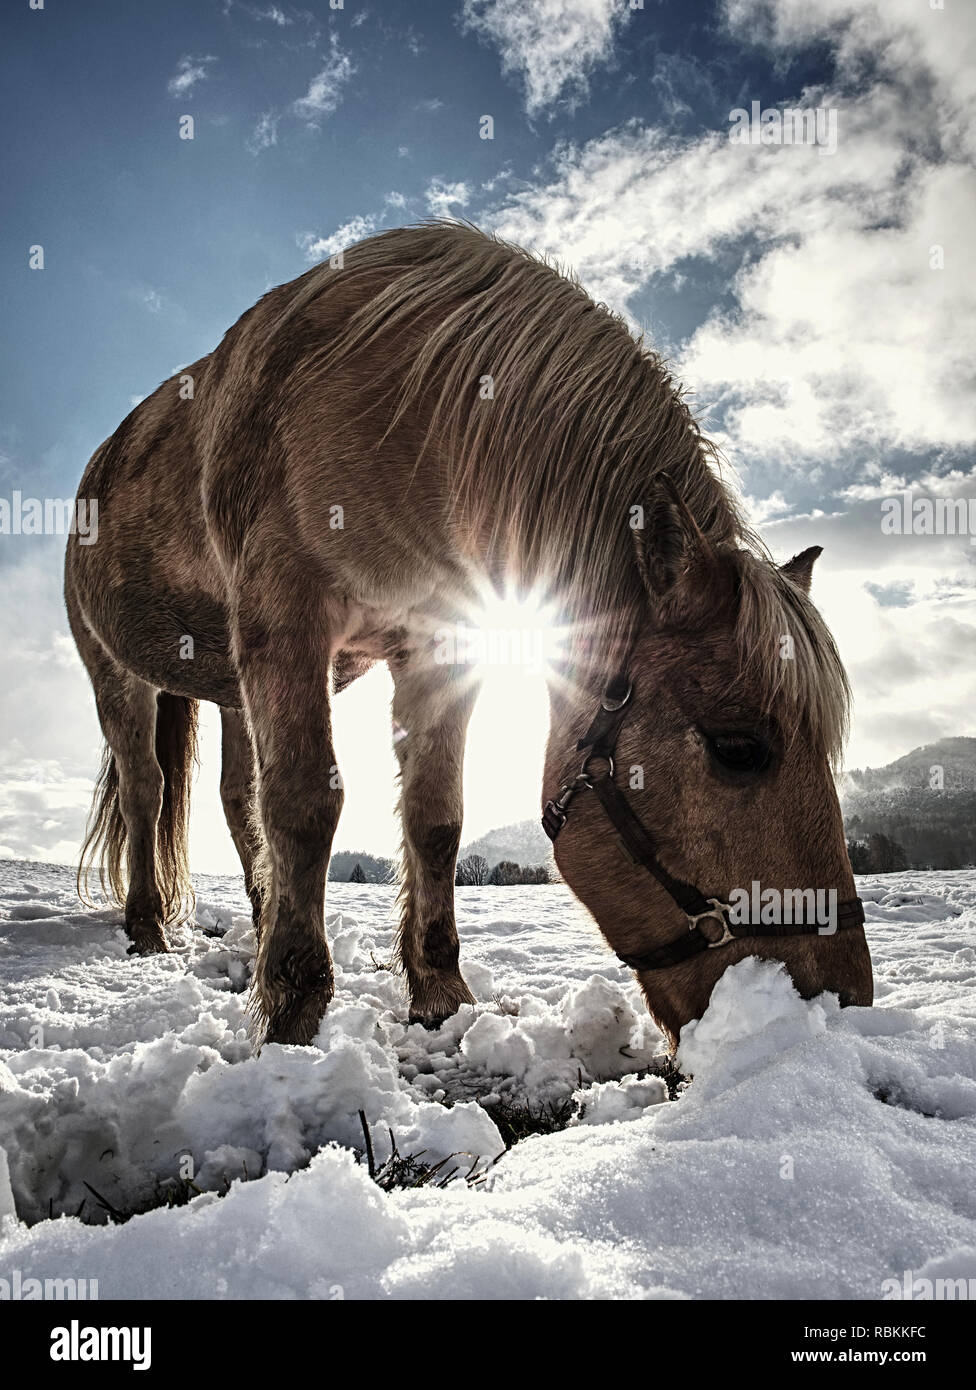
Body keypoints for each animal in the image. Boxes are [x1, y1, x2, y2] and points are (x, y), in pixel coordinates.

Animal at [65, 220, 873, 1051]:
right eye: (740, 749)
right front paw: (292, 1006)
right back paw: (149, 927)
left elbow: (435, 819)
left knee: (235, 799)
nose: (838, 1003)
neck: (408, 419)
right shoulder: (287, 616)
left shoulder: (437, 647)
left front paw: (439, 991)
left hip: (230, 684)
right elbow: (304, 802)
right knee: (147, 788)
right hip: (117, 673)